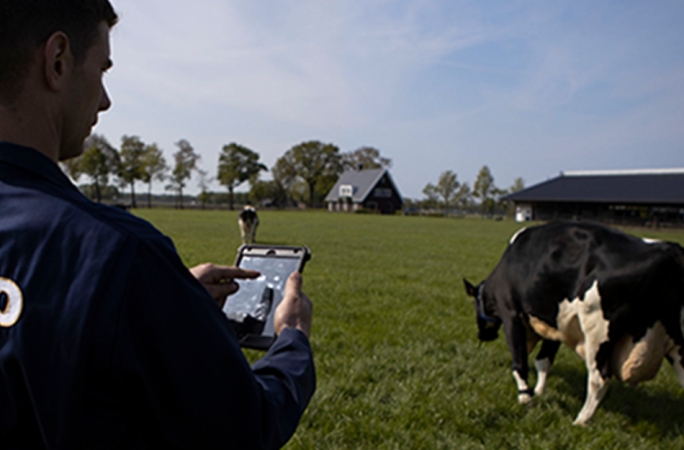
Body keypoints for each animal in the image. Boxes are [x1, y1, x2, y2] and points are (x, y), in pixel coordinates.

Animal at [464, 221, 684, 426]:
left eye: (475, 305)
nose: (482, 335)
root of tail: (671, 251)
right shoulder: (555, 324)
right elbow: (543, 360)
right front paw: (539, 391)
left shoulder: (511, 313)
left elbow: (519, 361)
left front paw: (526, 399)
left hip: (597, 332)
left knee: (599, 379)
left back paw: (581, 421)